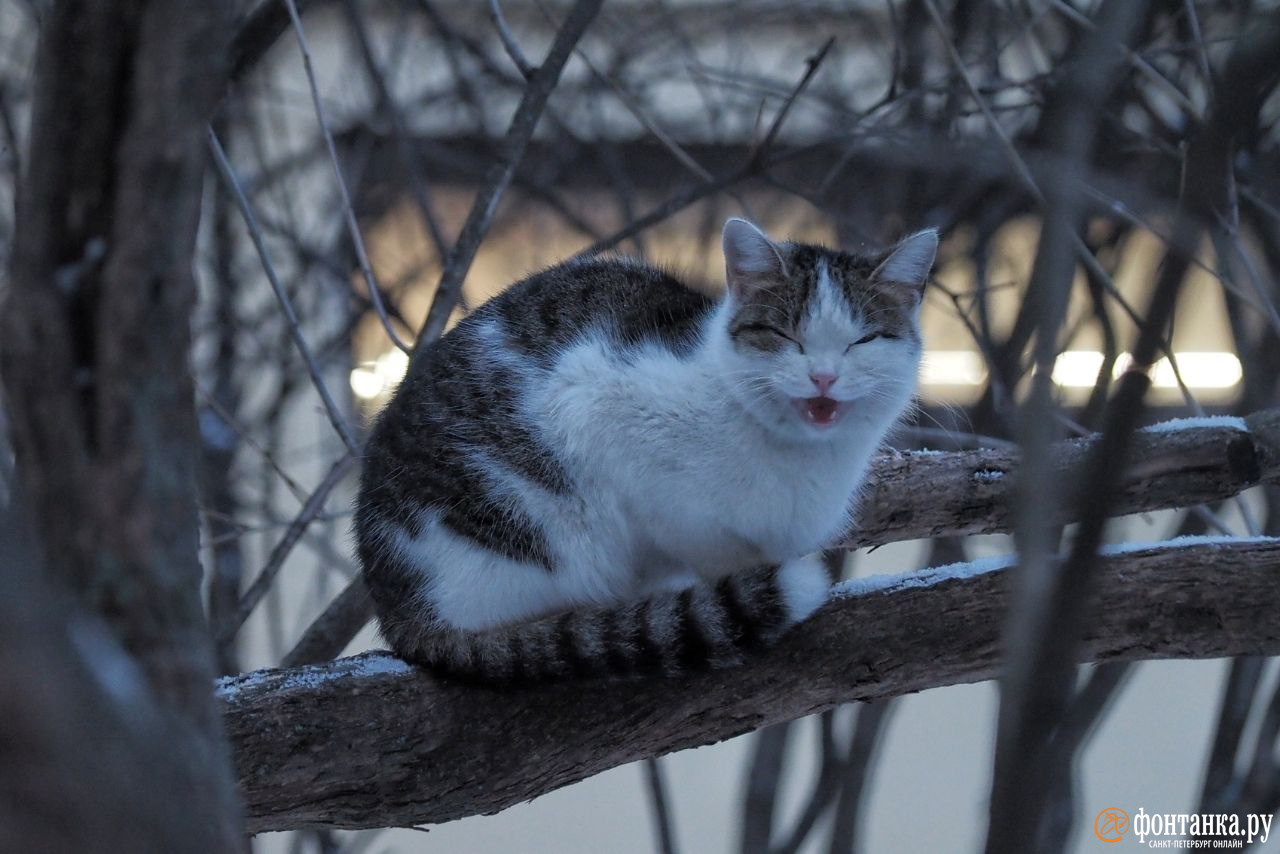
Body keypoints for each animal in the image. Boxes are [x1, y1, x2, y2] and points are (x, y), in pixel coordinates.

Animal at [355, 220, 936, 686]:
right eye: (783, 334)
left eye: (863, 341)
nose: (824, 377)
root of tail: (394, 605)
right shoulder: (596, 401)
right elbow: (700, 538)